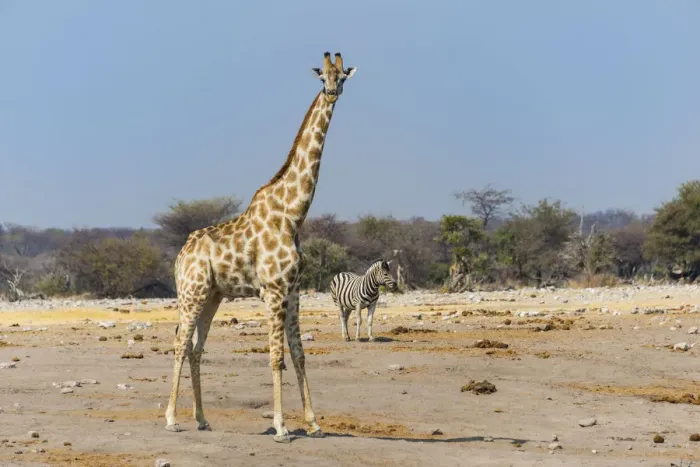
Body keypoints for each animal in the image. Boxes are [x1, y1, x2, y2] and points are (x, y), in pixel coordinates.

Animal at [164, 52, 357, 443]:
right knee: (179, 342)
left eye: (343, 76)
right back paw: (172, 418)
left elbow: (299, 354)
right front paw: (282, 427)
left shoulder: (293, 290)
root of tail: (180, 256)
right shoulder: (273, 290)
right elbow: (275, 356)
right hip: (191, 292)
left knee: (195, 348)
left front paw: (314, 423)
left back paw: (202, 419)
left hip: (212, 295)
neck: (293, 214)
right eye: (322, 77)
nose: (332, 93)